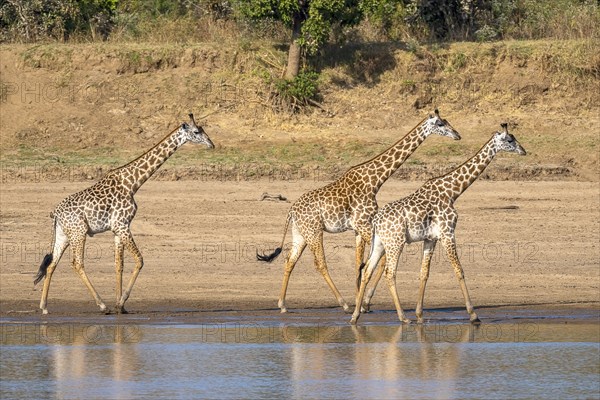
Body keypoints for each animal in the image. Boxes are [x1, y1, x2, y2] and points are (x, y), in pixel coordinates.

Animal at [32, 114, 214, 314]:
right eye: (196, 131)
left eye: (203, 129)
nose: (211, 144)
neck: (132, 183)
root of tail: (55, 213)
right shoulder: (122, 224)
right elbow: (139, 260)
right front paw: (120, 303)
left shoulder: (117, 229)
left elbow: (119, 265)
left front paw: (121, 306)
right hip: (79, 232)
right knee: (77, 263)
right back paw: (102, 305)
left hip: (64, 235)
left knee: (52, 264)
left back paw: (44, 307)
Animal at [256, 109, 460, 312]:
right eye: (440, 124)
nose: (457, 135)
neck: (375, 180)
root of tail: (291, 211)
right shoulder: (365, 225)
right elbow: (378, 261)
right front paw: (363, 303)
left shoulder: (358, 229)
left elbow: (358, 264)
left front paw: (359, 302)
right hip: (314, 232)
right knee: (320, 263)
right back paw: (343, 304)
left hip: (300, 233)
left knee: (289, 259)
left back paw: (282, 304)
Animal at [350, 122, 528, 324]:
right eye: (510, 140)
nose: (523, 151)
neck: (452, 192)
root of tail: (376, 221)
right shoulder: (448, 232)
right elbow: (459, 270)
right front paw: (473, 314)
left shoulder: (431, 238)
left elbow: (424, 273)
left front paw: (420, 314)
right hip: (395, 242)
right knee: (389, 273)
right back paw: (402, 317)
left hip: (380, 243)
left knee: (366, 271)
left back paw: (355, 316)